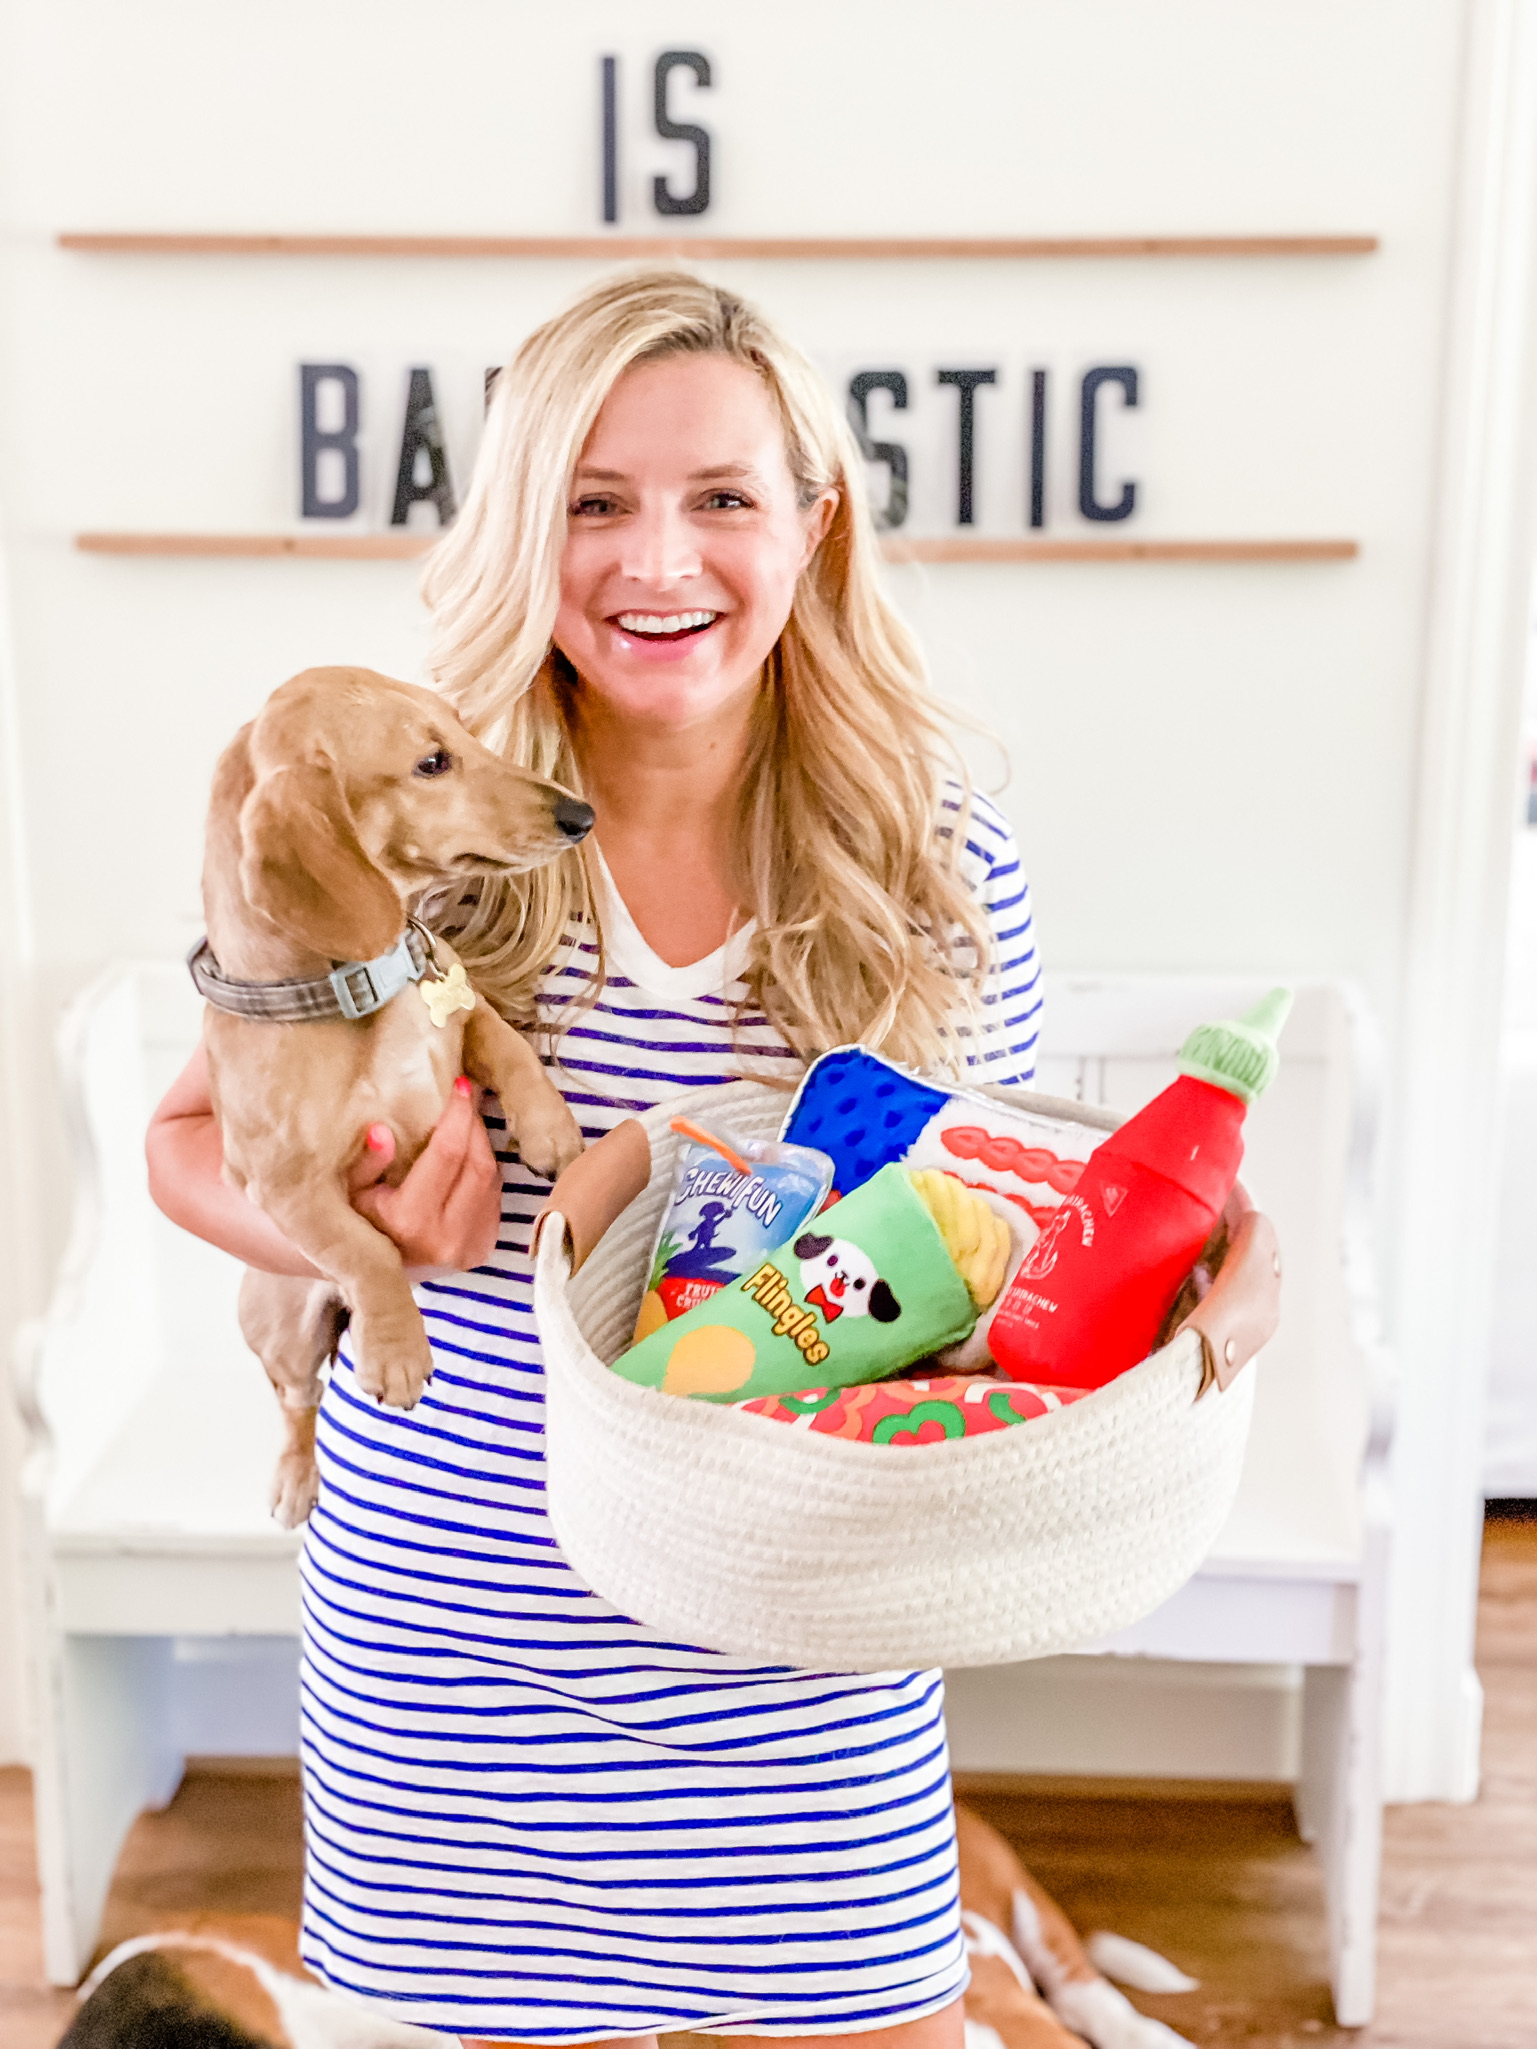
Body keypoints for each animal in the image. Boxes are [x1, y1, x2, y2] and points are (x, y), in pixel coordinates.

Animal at [195, 667, 594, 1524]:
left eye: (468, 731)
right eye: (431, 763)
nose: (582, 816)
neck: (359, 989)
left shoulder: (465, 1013)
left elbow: (510, 1048)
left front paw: (549, 1131)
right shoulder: (283, 1191)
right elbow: (366, 1248)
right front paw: (397, 1351)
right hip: (280, 1319)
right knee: (295, 1401)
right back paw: (295, 1478)